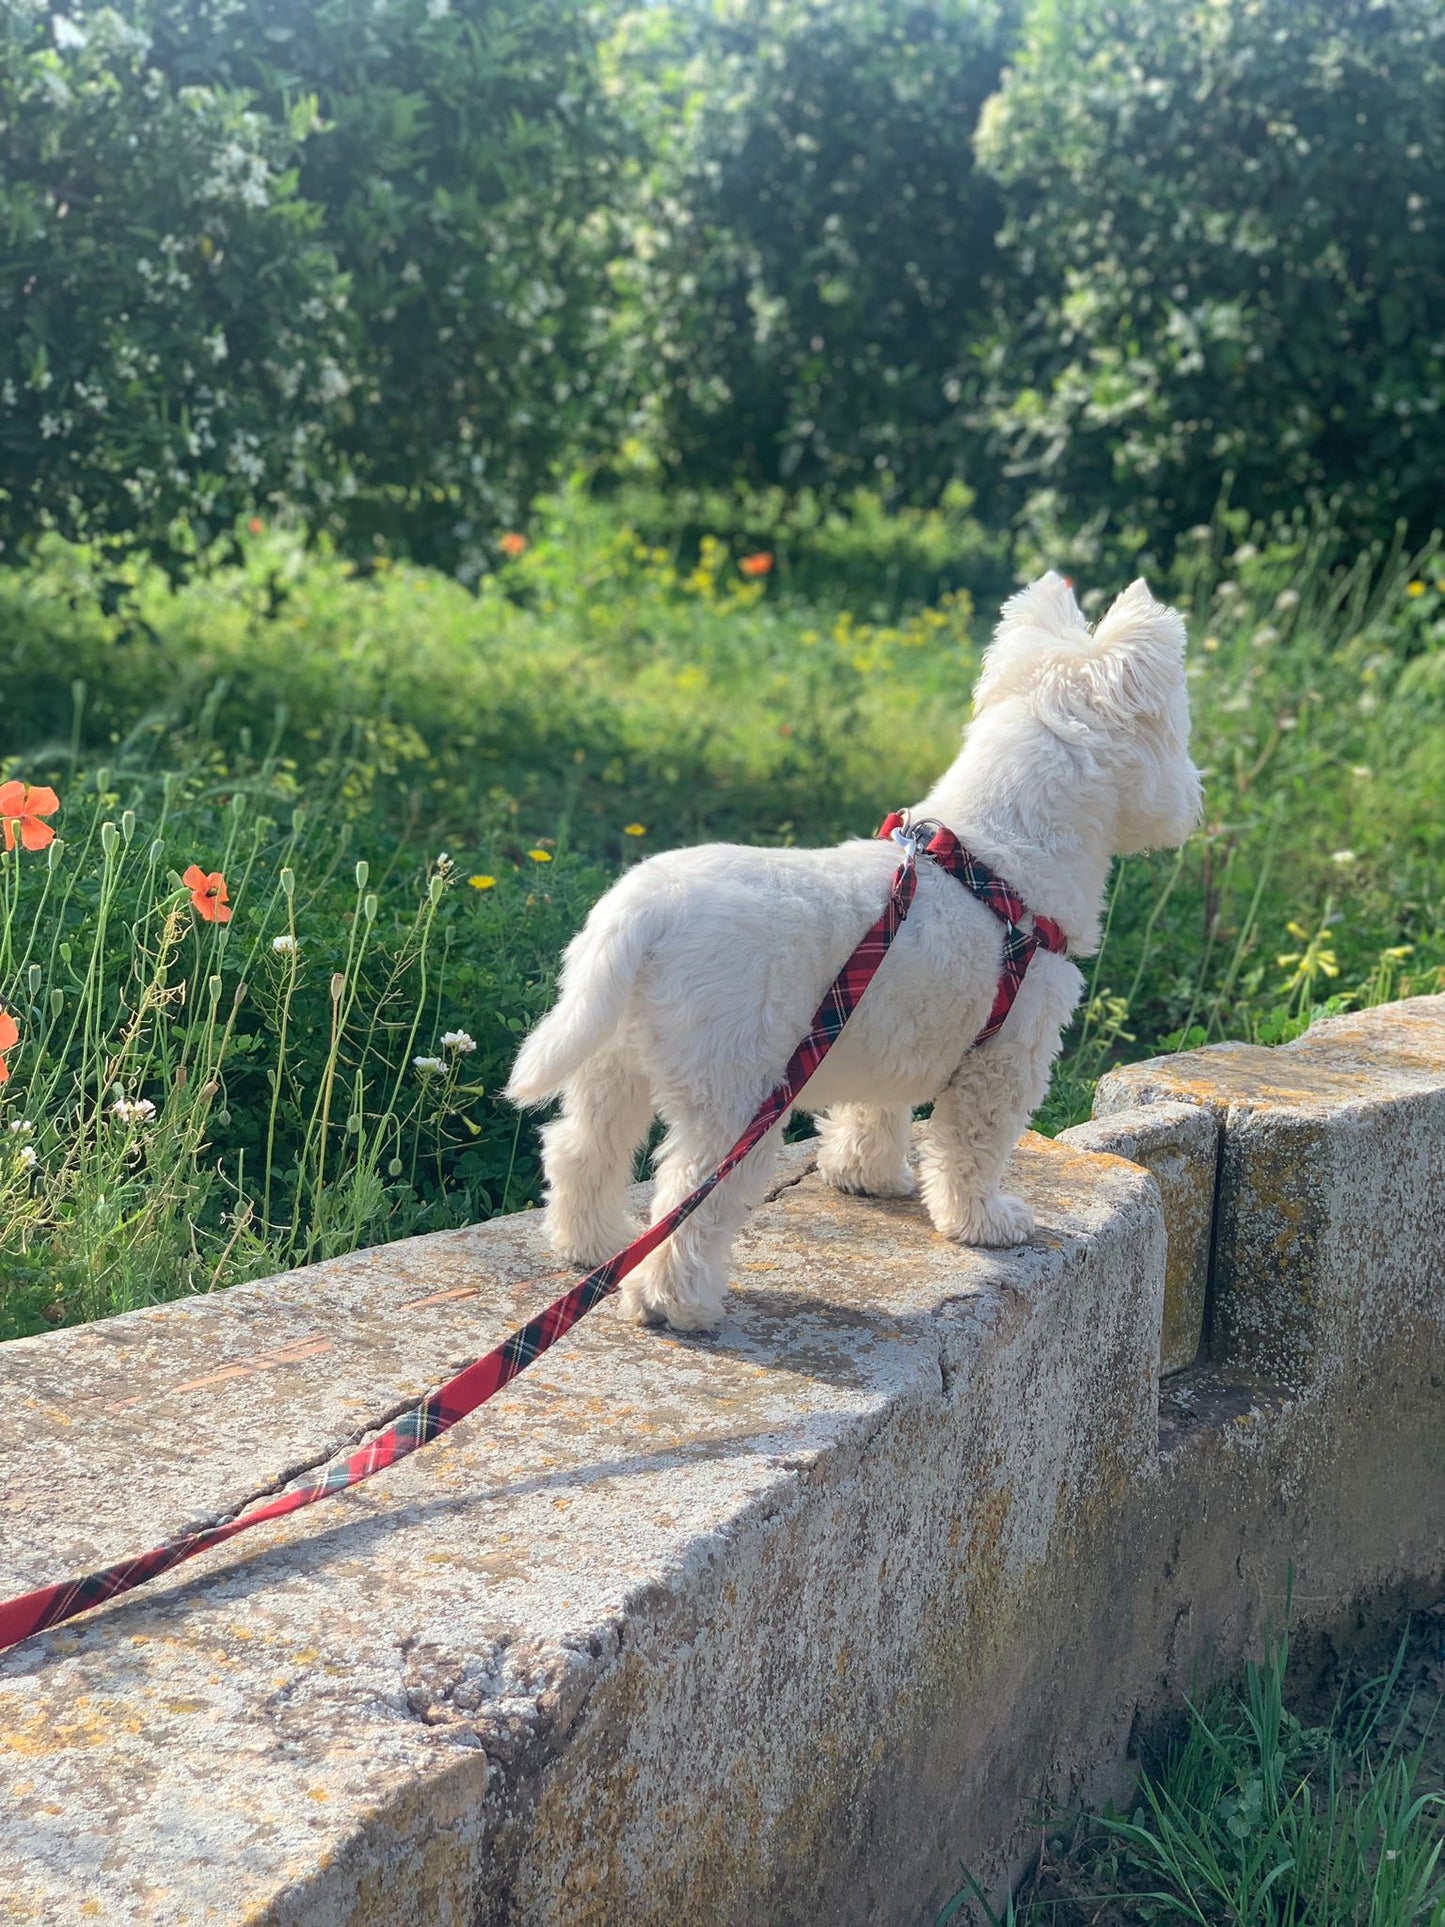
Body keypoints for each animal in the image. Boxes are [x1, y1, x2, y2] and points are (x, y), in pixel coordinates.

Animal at [504, 570, 1202, 1325]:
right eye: (1179, 732)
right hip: (739, 1098)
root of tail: (643, 908)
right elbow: (974, 1151)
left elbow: (874, 1114)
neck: (996, 858)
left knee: (579, 1150)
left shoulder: (886, 1036)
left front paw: (865, 1177)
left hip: (610, 1061)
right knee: (688, 1196)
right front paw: (985, 1223)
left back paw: (593, 1246)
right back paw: (676, 1304)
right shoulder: (1004, 1059)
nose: (1196, 799)